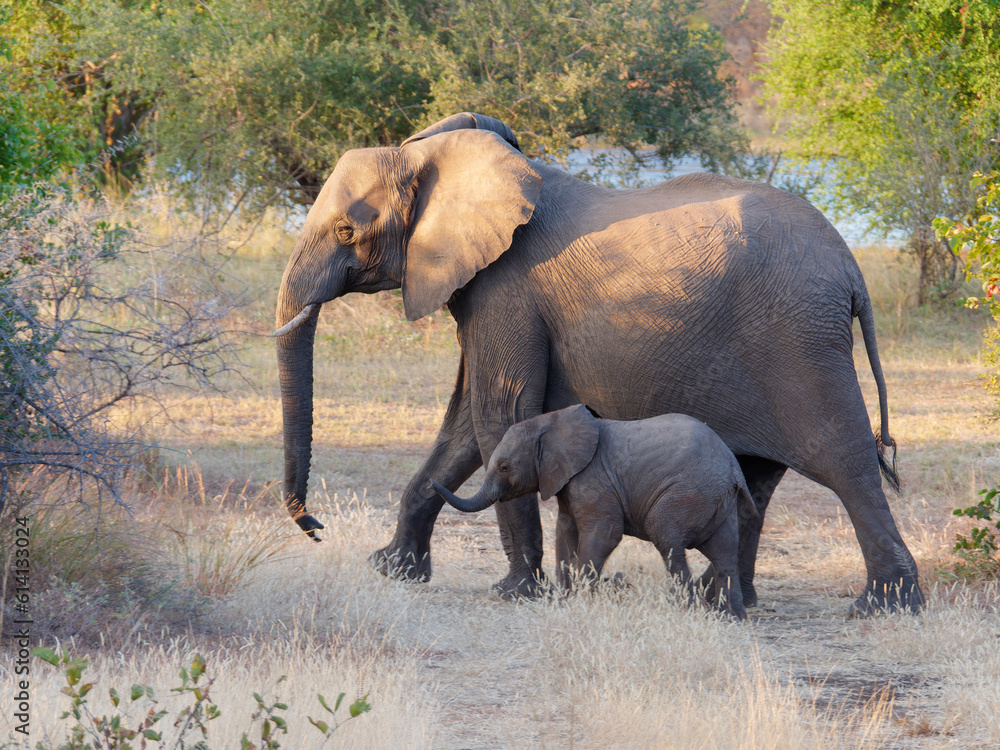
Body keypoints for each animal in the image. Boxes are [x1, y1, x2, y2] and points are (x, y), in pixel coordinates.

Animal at [432, 406, 757, 619]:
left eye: (504, 467)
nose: (433, 483)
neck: (549, 422)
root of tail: (734, 469)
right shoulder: (568, 482)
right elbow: (564, 533)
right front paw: (565, 599)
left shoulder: (594, 480)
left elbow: (604, 534)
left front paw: (584, 598)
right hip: (718, 500)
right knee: (725, 553)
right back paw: (731, 616)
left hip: (690, 493)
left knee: (667, 539)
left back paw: (685, 609)